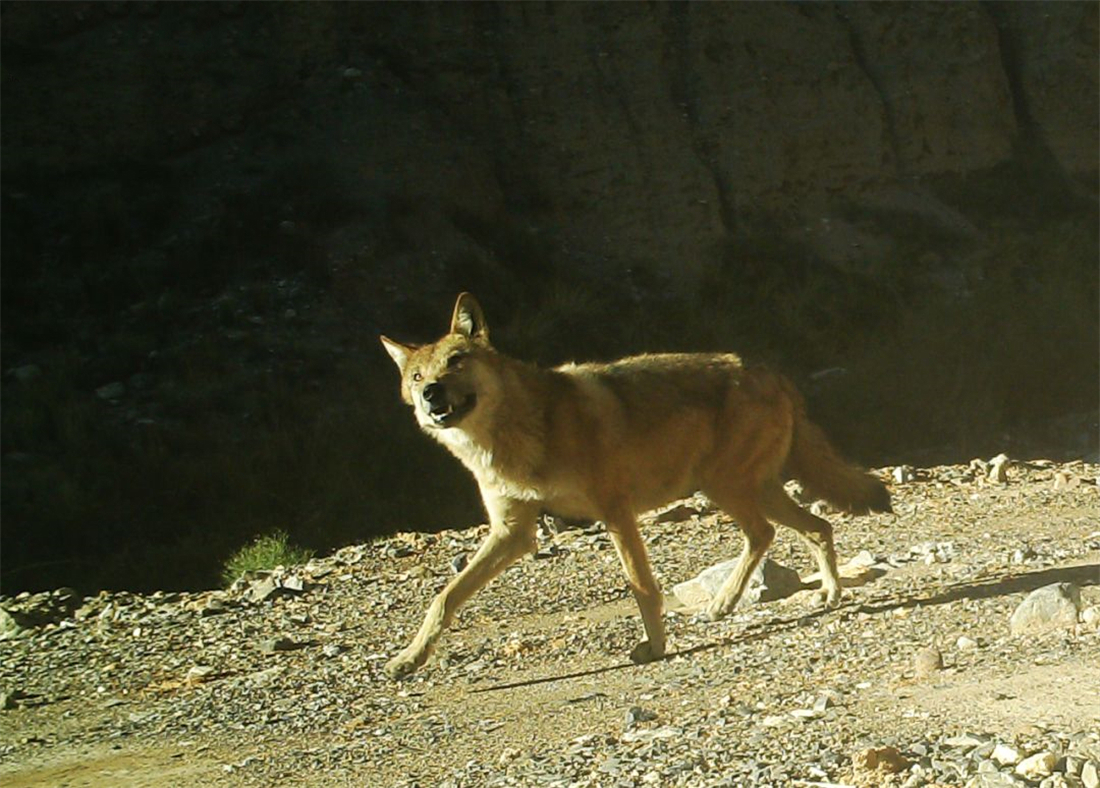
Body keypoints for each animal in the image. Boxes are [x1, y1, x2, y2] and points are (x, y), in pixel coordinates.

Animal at [382, 294, 888, 677]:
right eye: (417, 376)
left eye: (456, 361)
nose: (430, 395)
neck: (520, 434)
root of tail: (772, 372)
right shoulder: (514, 533)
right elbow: (445, 597)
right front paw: (409, 659)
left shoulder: (615, 512)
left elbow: (642, 586)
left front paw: (655, 647)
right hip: (749, 490)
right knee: (814, 527)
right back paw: (816, 595)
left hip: (724, 488)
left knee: (769, 533)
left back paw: (731, 602)